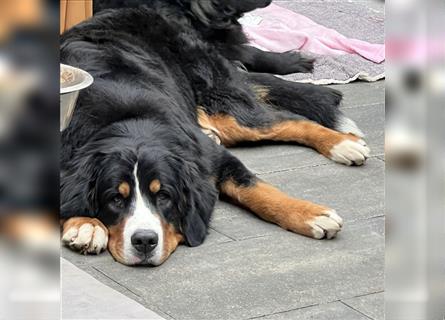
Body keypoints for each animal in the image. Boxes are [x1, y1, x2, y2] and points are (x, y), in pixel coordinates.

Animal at [60, 0, 370, 266]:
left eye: (165, 196)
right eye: (115, 199)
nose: (145, 241)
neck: (130, 122)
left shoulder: (214, 158)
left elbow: (259, 191)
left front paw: (311, 214)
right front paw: (85, 225)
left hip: (224, 105)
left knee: (289, 121)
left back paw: (343, 144)